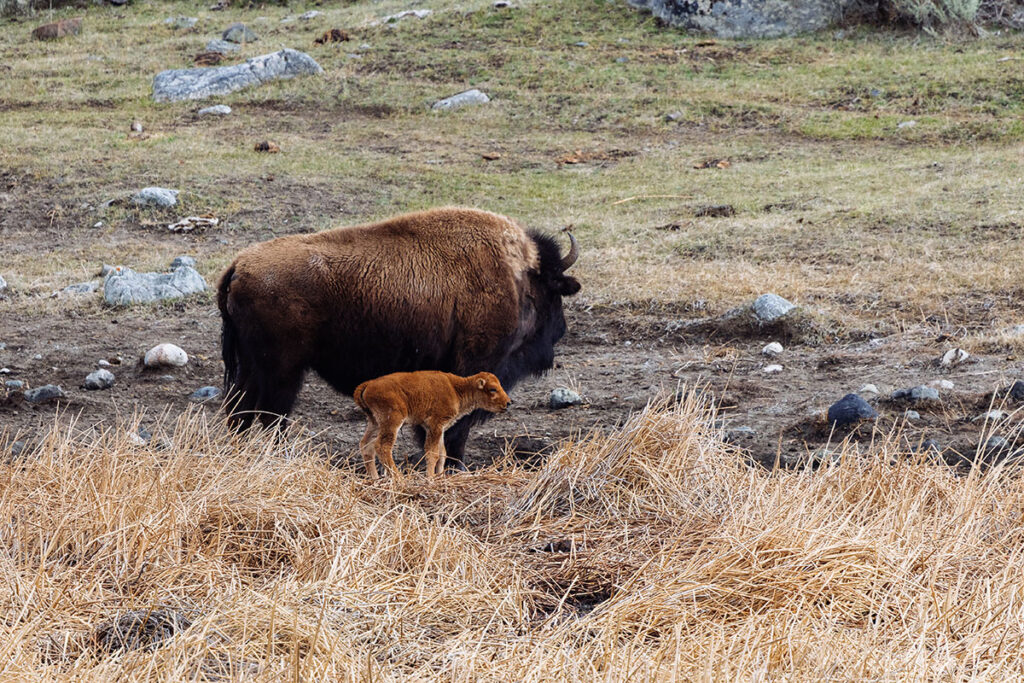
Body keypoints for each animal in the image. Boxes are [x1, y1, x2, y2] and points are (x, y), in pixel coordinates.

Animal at [217, 206, 580, 467]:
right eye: (554, 290)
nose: (560, 330)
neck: (517, 277)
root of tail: (239, 265)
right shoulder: (474, 364)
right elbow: (456, 425)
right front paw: (454, 464)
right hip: (282, 371)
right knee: (270, 415)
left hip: (253, 367)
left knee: (240, 410)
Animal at [353, 371, 511, 479]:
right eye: (493, 389)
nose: (508, 403)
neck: (457, 389)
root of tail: (368, 384)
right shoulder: (435, 425)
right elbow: (432, 453)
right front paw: (430, 477)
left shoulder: (440, 429)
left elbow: (442, 454)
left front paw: (439, 476)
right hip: (392, 422)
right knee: (382, 446)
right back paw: (398, 477)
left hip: (375, 422)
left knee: (366, 445)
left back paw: (374, 478)